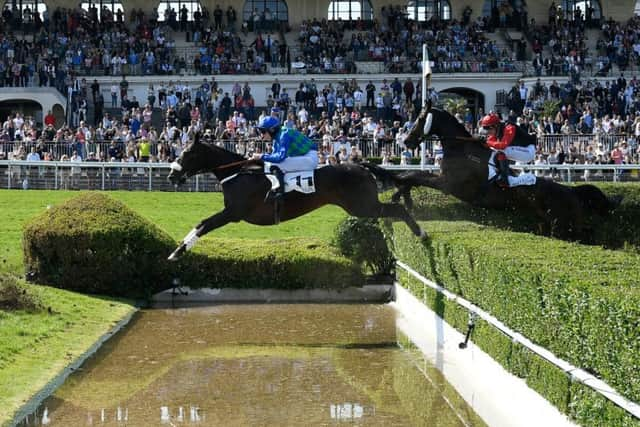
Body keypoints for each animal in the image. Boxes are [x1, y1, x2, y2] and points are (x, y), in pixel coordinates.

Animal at [166, 134, 424, 260]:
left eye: (187, 153)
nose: (171, 175)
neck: (239, 172)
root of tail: (362, 165)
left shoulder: (233, 212)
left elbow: (204, 224)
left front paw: (177, 252)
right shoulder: (231, 212)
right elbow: (202, 224)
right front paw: (176, 250)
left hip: (362, 206)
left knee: (397, 210)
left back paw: (420, 233)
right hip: (363, 206)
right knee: (391, 211)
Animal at [400, 103, 620, 237]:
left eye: (420, 119)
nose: (406, 141)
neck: (461, 148)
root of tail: (572, 190)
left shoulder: (448, 183)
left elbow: (414, 175)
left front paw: (402, 194)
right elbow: (412, 175)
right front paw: (402, 194)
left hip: (562, 225)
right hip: (553, 223)